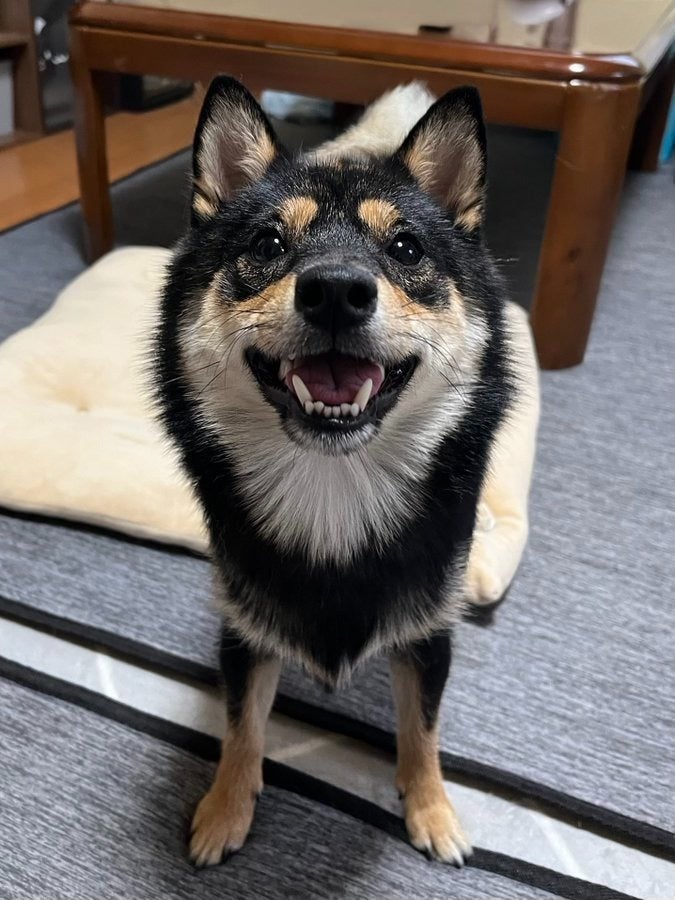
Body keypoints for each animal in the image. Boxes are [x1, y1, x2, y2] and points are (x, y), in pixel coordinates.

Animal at [155, 76, 514, 868]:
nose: (336, 289)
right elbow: (241, 726)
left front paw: (431, 809)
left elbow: (422, 730)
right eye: (268, 244)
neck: (335, 491)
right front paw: (225, 807)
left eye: (406, 247)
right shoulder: (246, 629)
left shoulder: (427, 633)